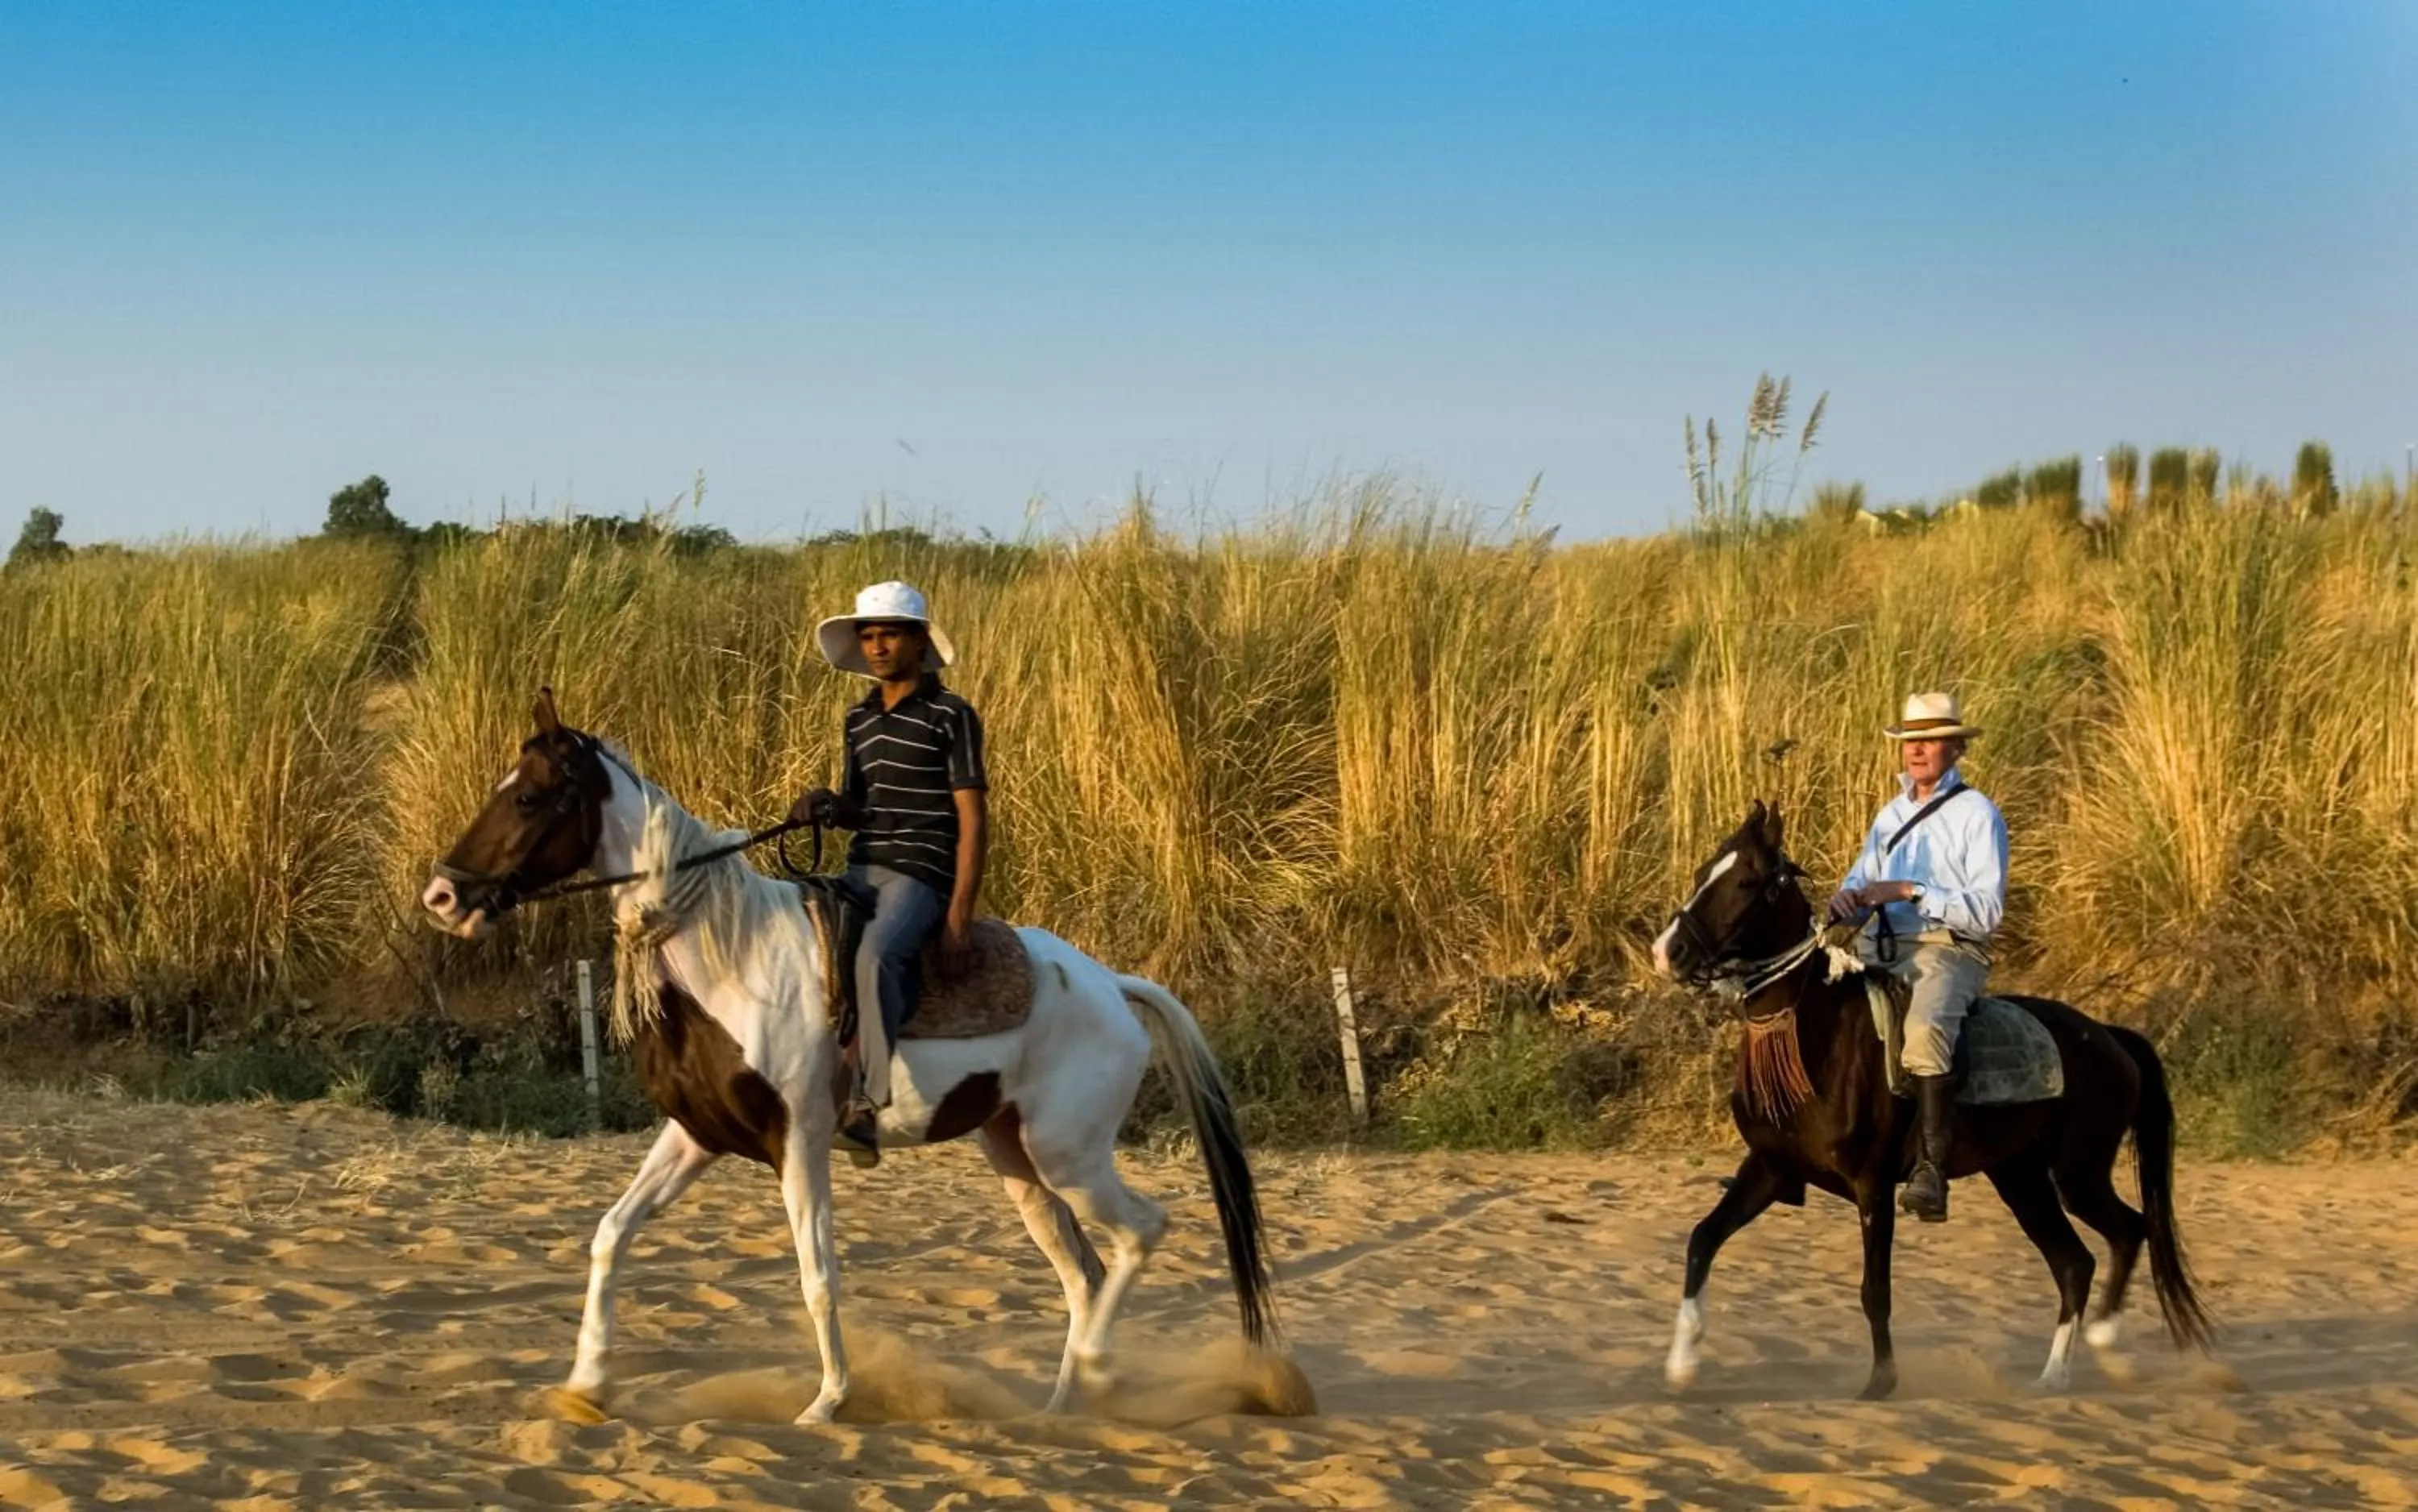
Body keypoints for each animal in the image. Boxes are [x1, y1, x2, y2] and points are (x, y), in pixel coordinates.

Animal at [418, 689, 1288, 1424]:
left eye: (528, 796)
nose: (443, 896)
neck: (734, 958)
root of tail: (1111, 983)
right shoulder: (695, 1137)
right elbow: (611, 1232)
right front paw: (585, 1383)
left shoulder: (799, 1142)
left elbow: (818, 1274)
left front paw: (828, 1401)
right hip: (1019, 1160)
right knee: (1082, 1273)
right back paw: (1059, 1407)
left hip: (1068, 1156)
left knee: (1141, 1232)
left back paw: (1103, 1374)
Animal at [1649, 801, 2213, 1400]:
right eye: (1703, 871)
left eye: (1748, 880)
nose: (1668, 952)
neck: (1817, 1034)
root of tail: (2110, 1037)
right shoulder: (1770, 1169)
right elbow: (1702, 1239)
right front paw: (1682, 1365)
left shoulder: (1872, 1185)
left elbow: (1874, 1289)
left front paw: (1881, 1382)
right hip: (2022, 1179)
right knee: (2074, 1263)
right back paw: (2054, 1375)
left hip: (2077, 1174)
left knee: (2128, 1230)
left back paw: (2105, 1344)